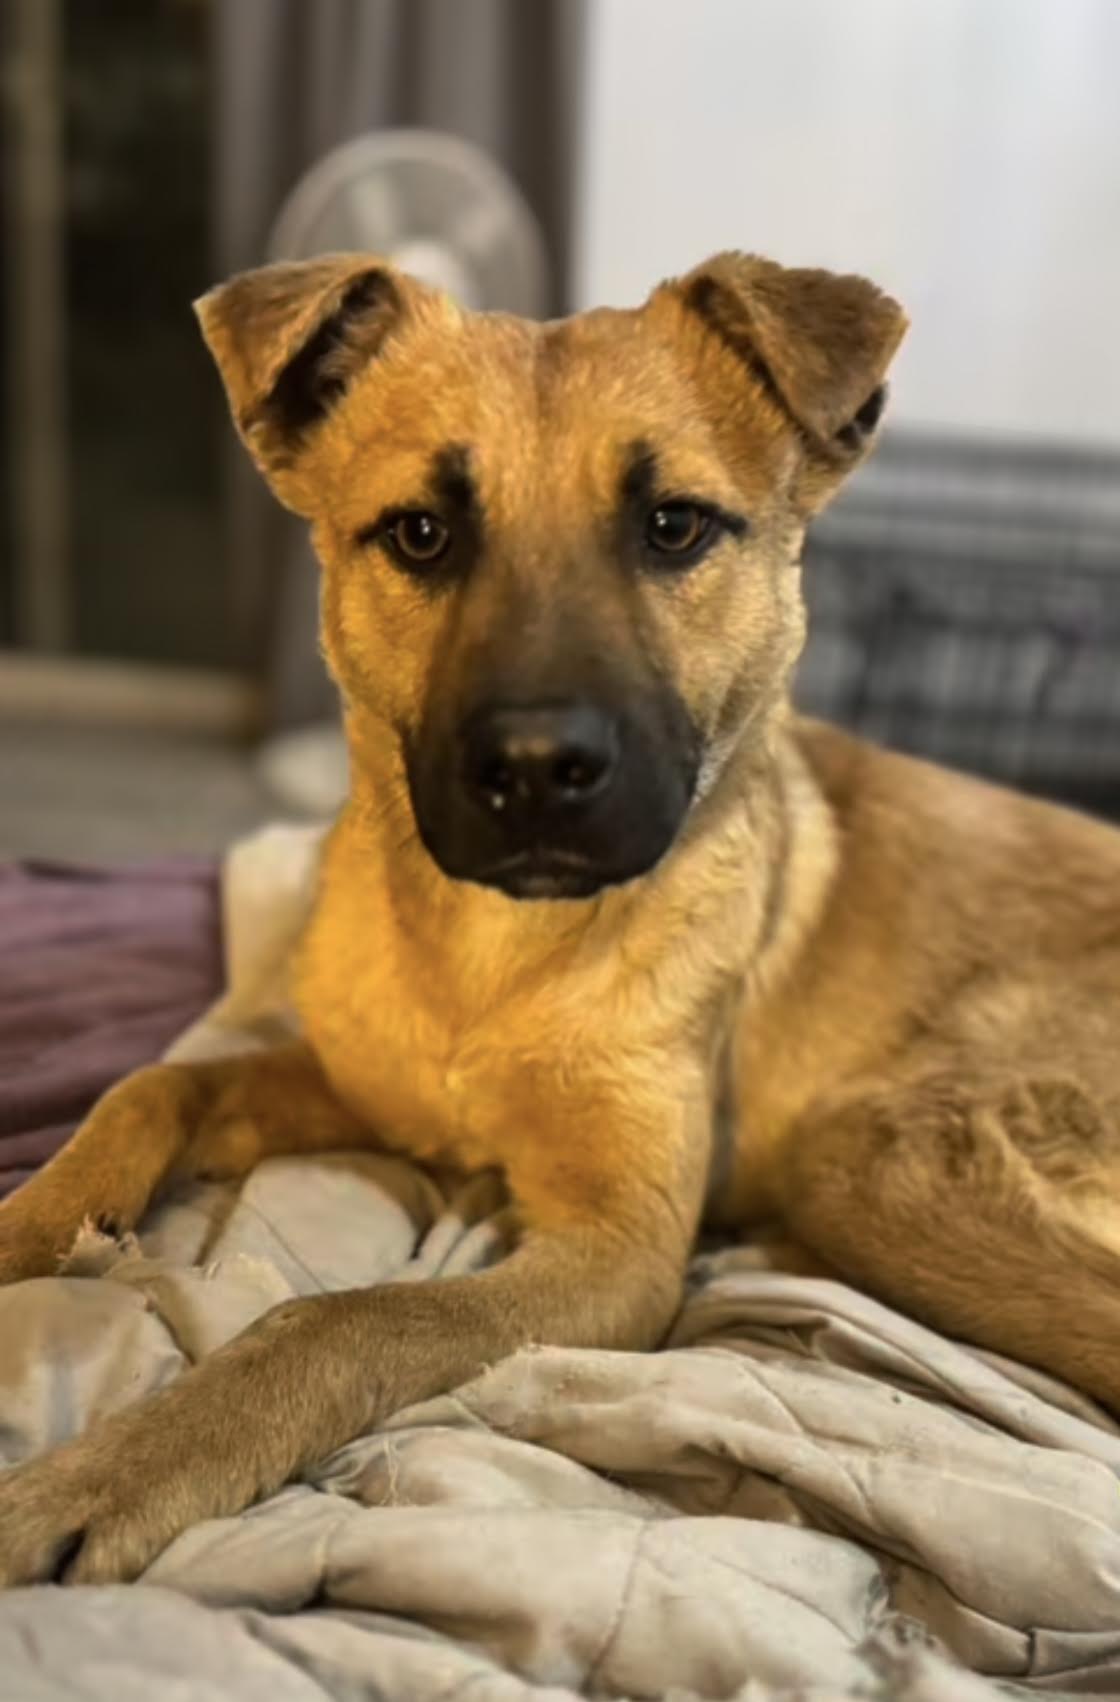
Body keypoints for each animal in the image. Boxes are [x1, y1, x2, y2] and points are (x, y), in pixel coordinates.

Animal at [3, 249, 1120, 1588]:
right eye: (420, 533)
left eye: (674, 526)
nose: (537, 770)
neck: (495, 955)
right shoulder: (361, 1090)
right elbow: (152, 1085)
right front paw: (29, 1227)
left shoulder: (618, 1250)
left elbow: (340, 1316)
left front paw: (122, 1469)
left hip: (881, 1156)